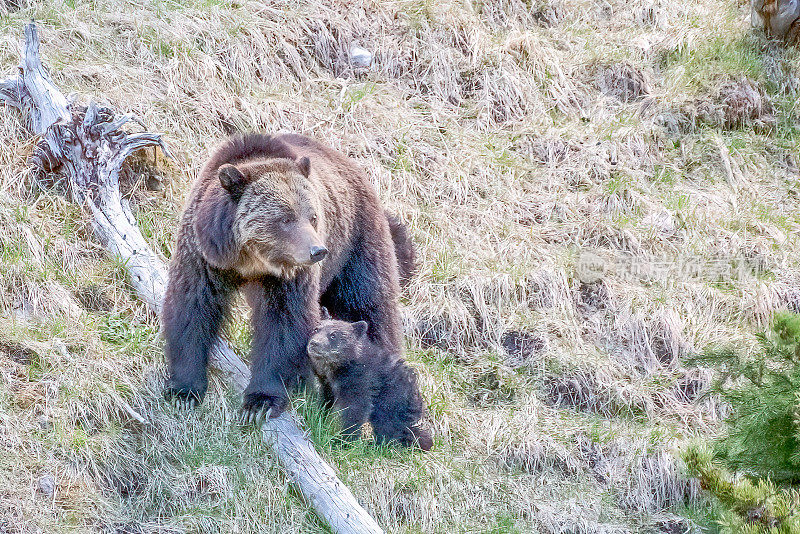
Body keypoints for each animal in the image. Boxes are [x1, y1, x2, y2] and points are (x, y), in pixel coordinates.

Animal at [160, 133, 416, 422]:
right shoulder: (204, 256)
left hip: (358, 246)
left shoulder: (290, 276)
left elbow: (284, 323)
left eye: (313, 217)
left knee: (370, 308)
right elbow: (192, 307)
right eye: (285, 219)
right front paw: (184, 390)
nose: (318, 250)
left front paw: (261, 401)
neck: (249, 261)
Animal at [306, 310, 432, 452]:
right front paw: (319, 416)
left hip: (391, 399)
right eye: (317, 329)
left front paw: (343, 441)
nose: (314, 343)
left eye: (333, 335)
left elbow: (355, 410)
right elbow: (326, 399)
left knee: (388, 425)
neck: (339, 366)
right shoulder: (328, 383)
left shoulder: (360, 380)